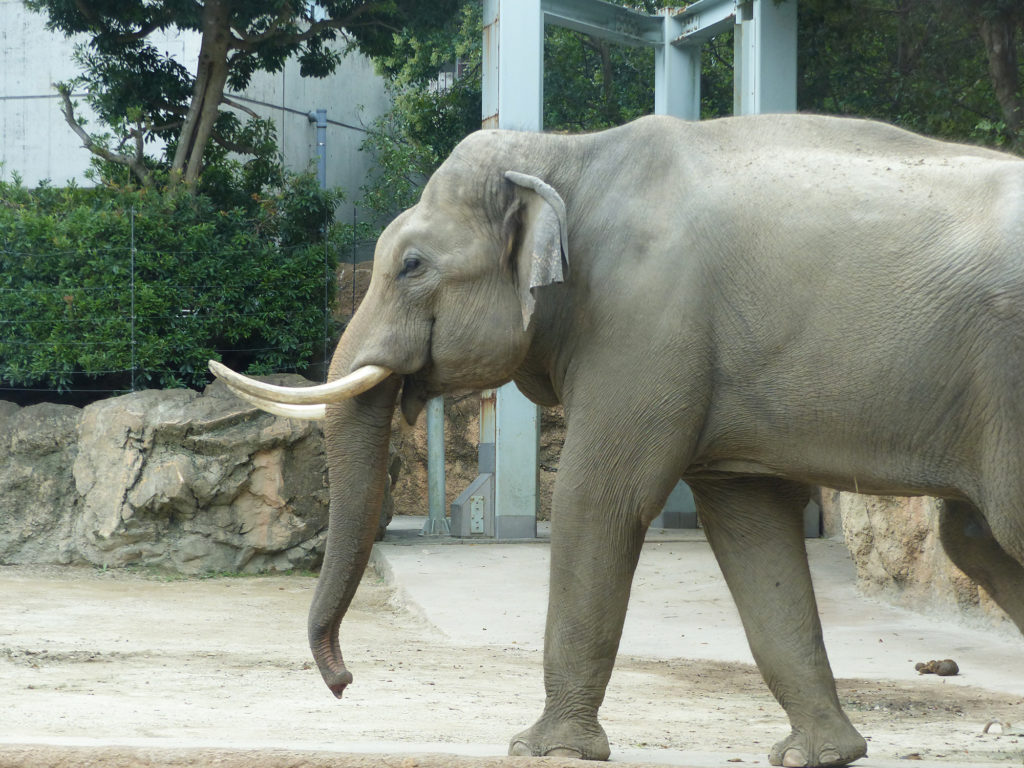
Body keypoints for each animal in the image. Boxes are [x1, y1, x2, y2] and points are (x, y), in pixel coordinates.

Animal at [209, 114, 1024, 768]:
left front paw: (543, 749)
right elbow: (749, 528)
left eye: (411, 265)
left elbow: (595, 500)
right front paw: (817, 756)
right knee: (972, 537)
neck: (566, 151)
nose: (345, 683)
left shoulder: (643, 326)